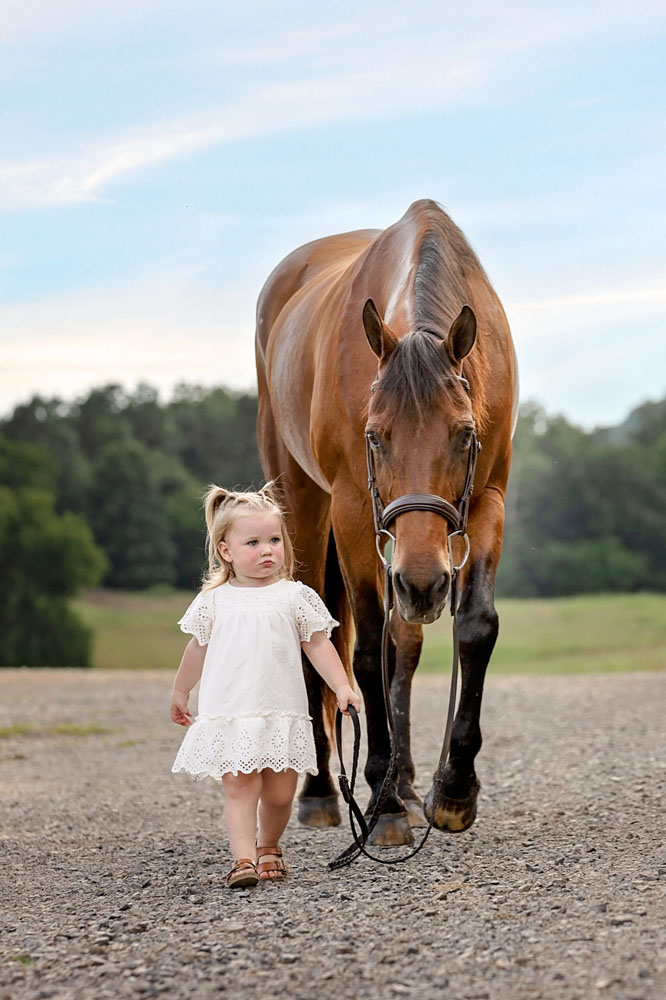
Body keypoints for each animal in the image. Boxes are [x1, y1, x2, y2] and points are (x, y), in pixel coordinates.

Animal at [255, 199, 517, 846]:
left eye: (465, 434)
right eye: (374, 436)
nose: (423, 584)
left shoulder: (487, 500)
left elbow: (473, 628)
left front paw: (453, 790)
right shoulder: (354, 509)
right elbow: (367, 646)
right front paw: (386, 805)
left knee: (407, 640)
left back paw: (405, 780)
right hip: (303, 501)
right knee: (322, 635)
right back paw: (323, 791)